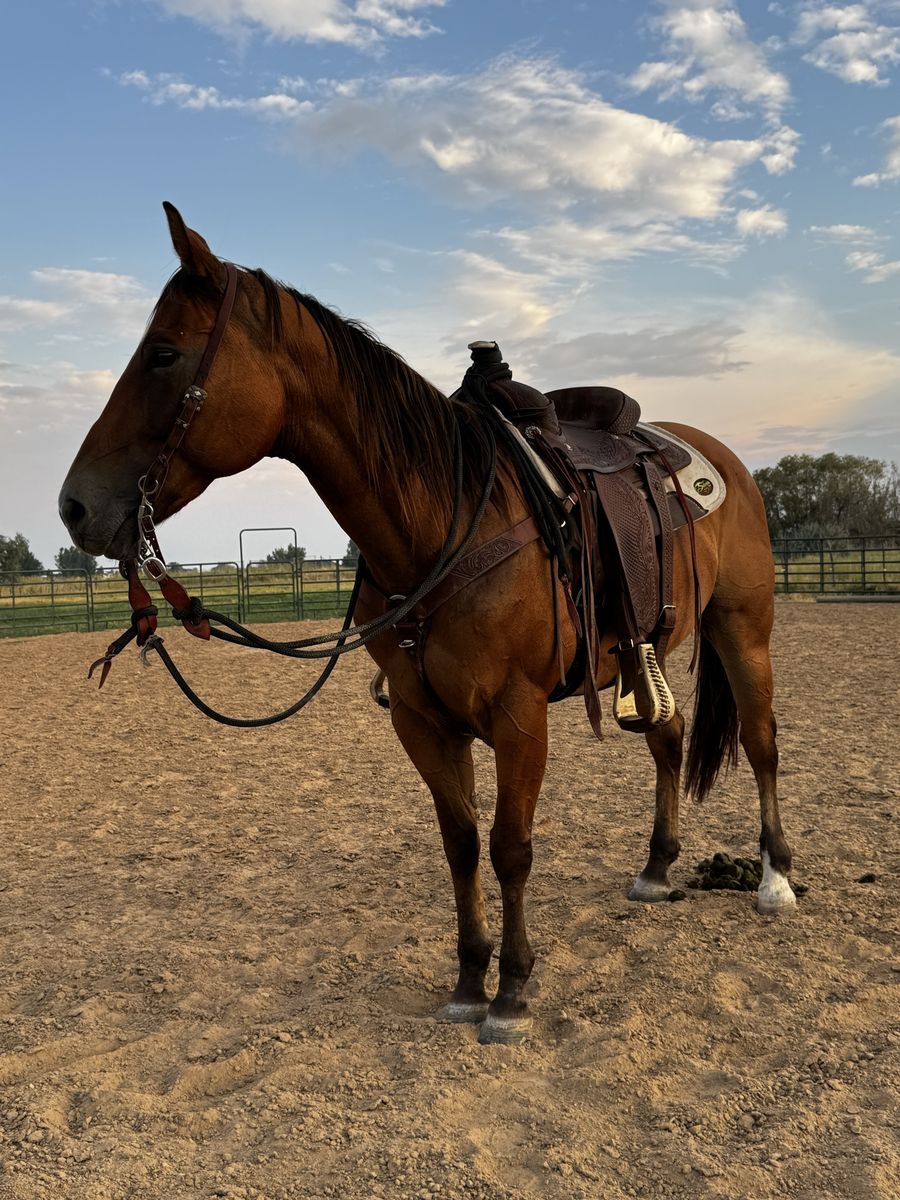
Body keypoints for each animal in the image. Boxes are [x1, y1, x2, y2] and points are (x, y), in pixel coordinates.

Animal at [59, 204, 795, 1045]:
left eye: (164, 353)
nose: (74, 506)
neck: (444, 519)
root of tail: (718, 458)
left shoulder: (518, 716)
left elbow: (511, 847)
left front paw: (513, 991)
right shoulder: (421, 718)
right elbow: (462, 844)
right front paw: (470, 980)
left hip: (743, 631)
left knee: (762, 742)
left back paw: (775, 878)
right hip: (648, 653)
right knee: (668, 741)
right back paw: (657, 868)